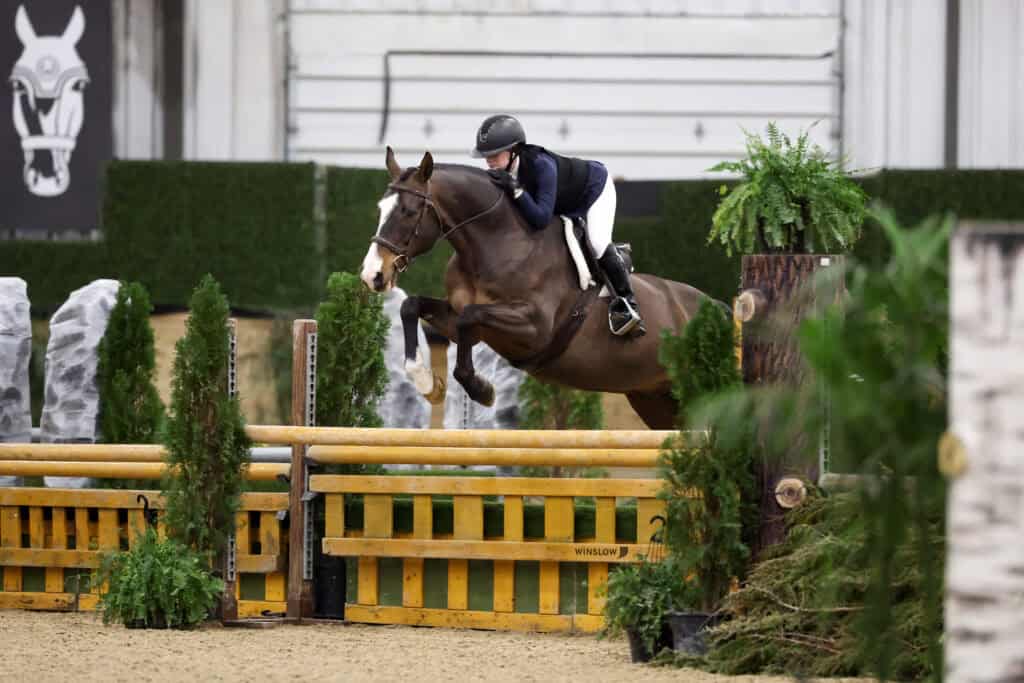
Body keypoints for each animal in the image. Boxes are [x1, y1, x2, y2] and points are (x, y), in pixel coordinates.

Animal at [360, 148, 717, 429]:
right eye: (379, 209)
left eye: (408, 212)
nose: (372, 274)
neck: (495, 243)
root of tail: (716, 307)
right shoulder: (458, 315)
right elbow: (413, 307)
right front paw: (426, 383)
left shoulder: (535, 329)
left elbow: (469, 318)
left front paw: (482, 390)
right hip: (653, 397)